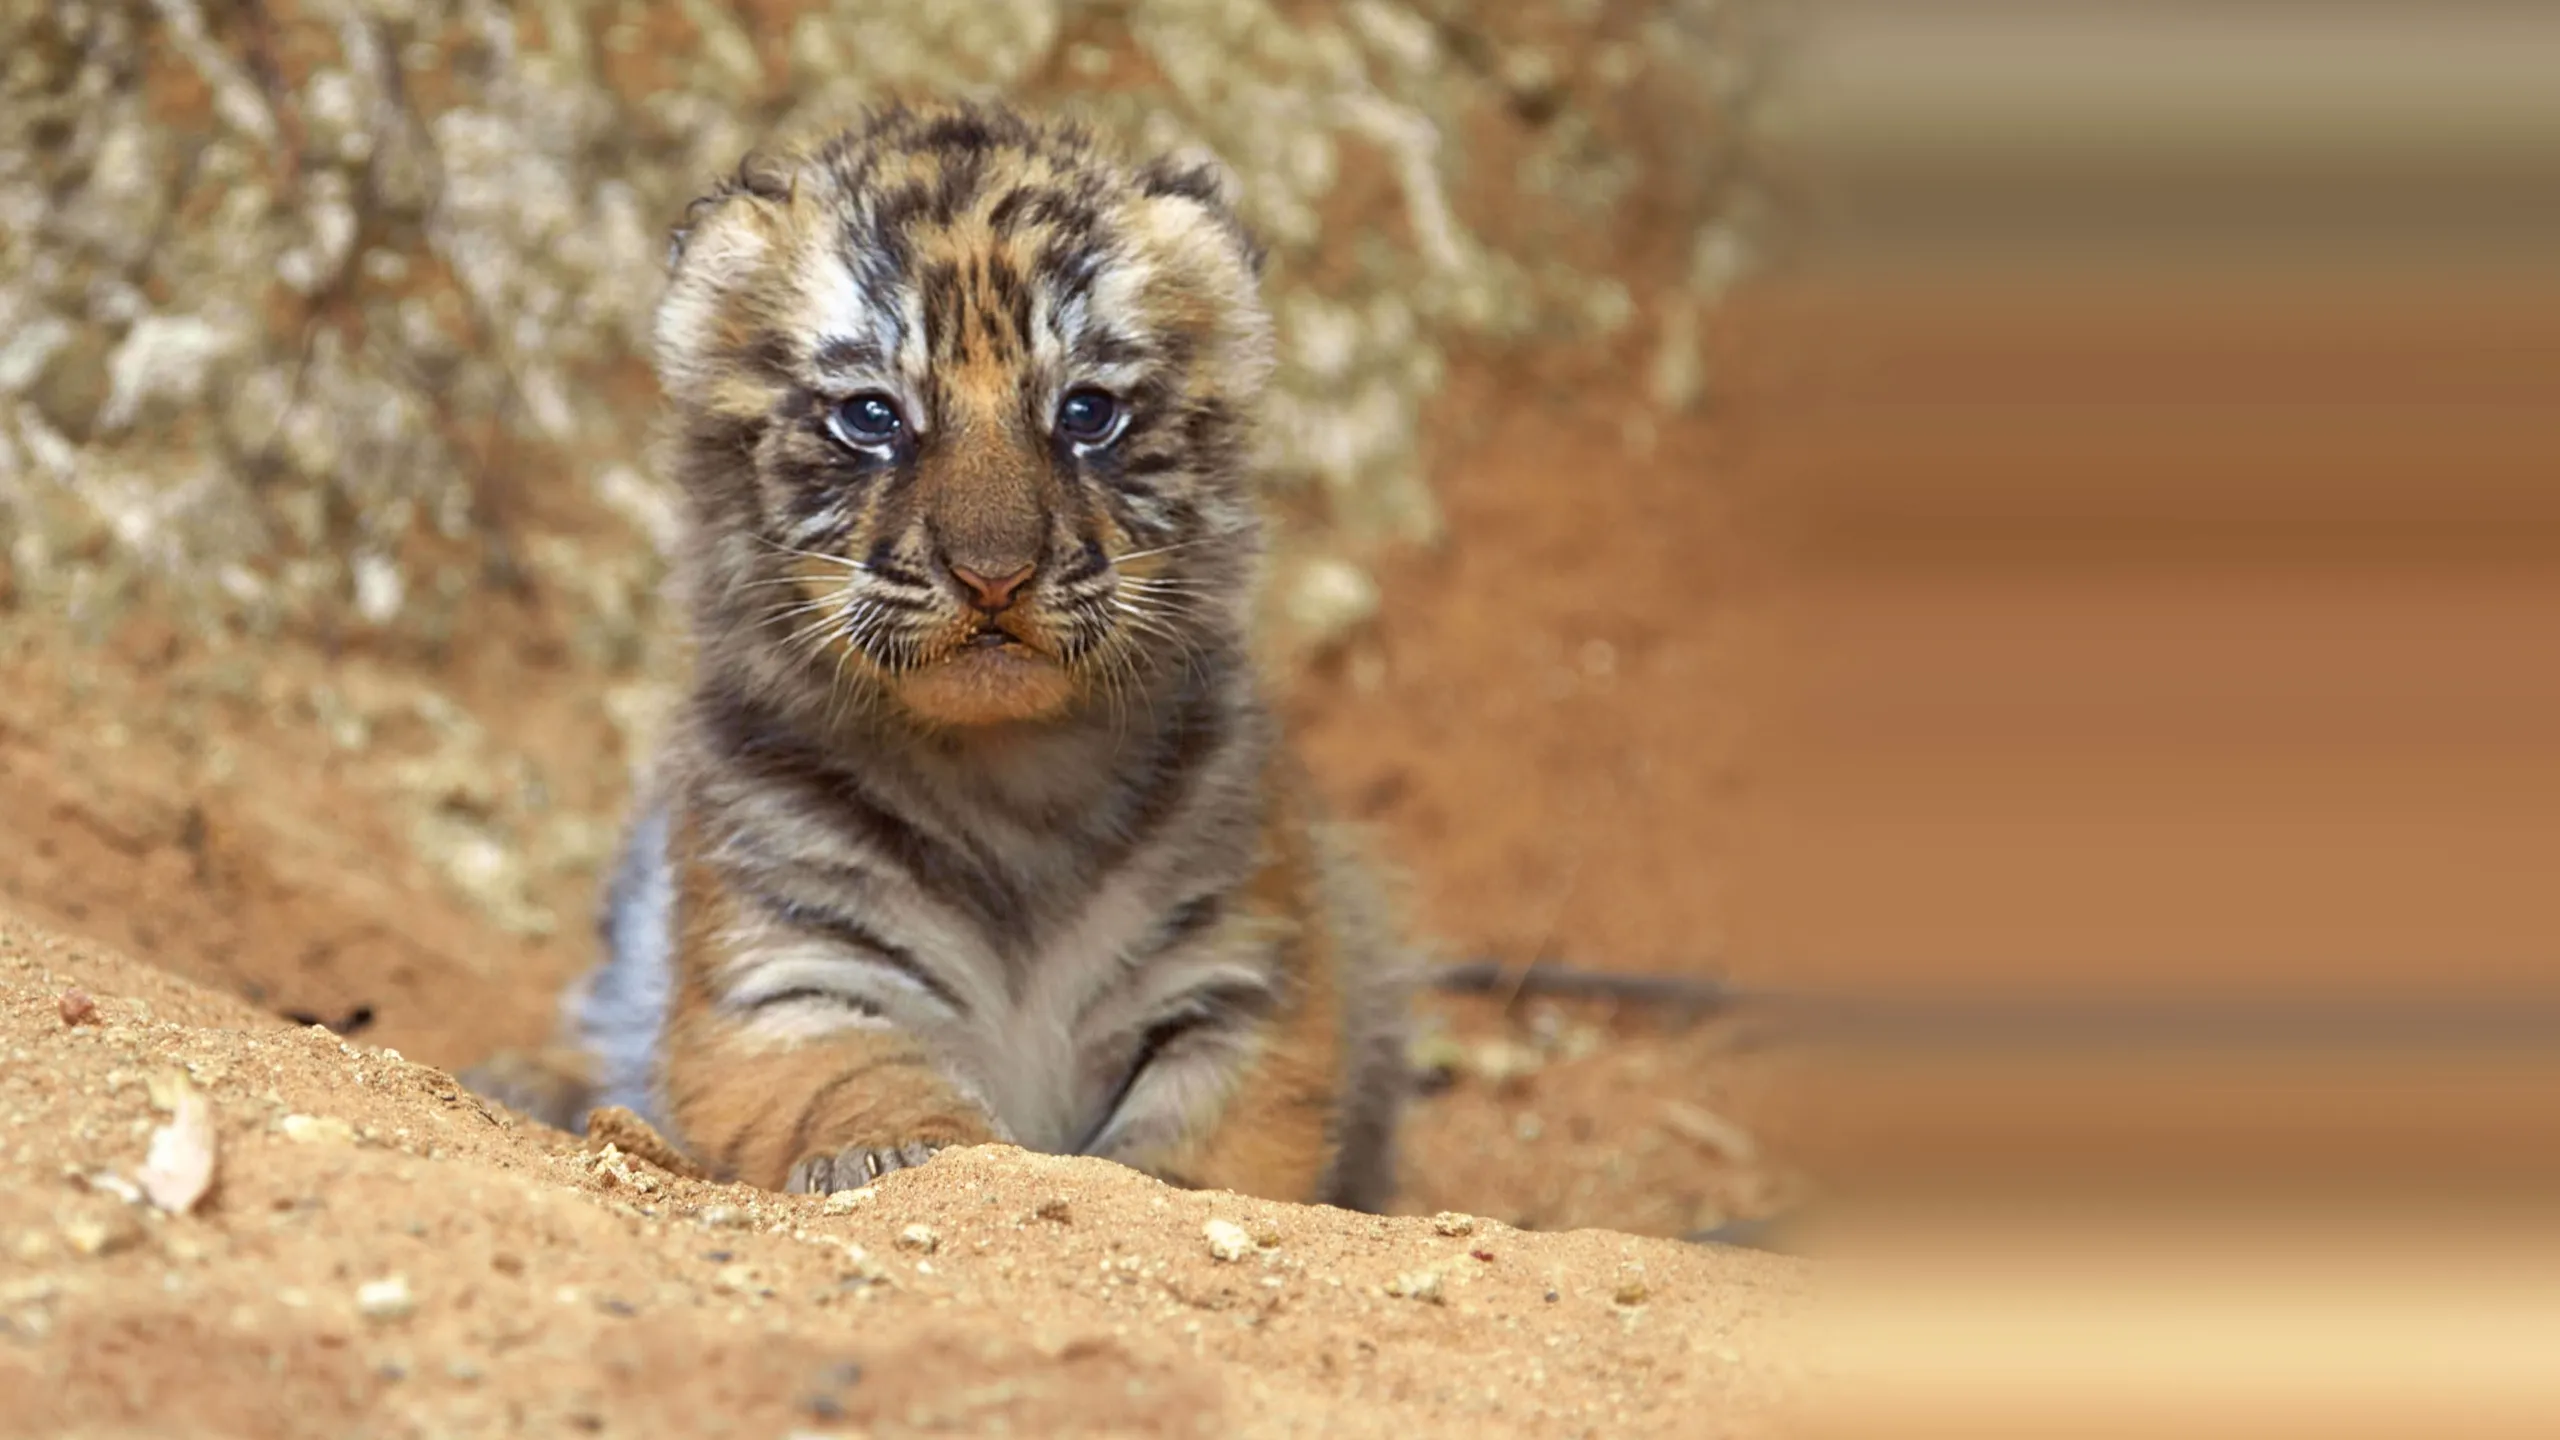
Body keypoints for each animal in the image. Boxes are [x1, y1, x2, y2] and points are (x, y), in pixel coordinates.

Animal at [462, 101, 1411, 1208]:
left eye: (1086, 413)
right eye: (874, 417)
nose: (993, 576)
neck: (1011, 780)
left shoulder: (1244, 980)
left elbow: (1201, 1151)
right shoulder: (785, 973)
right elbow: (871, 1080)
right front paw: (905, 1151)